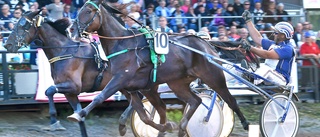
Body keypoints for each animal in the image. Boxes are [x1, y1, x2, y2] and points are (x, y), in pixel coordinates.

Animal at [67, 0, 252, 136]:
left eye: (88, 11)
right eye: (80, 9)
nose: (71, 29)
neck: (123, 44)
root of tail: (207, 44)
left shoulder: (120, 79)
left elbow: (100, 97)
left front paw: (78, 114)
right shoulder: (132, 88)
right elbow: (144, 117)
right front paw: (167, 126)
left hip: (213, 76)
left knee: (230, 100)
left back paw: (245, 123)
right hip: (177, 83)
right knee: (195, 101)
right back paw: (182, 128)